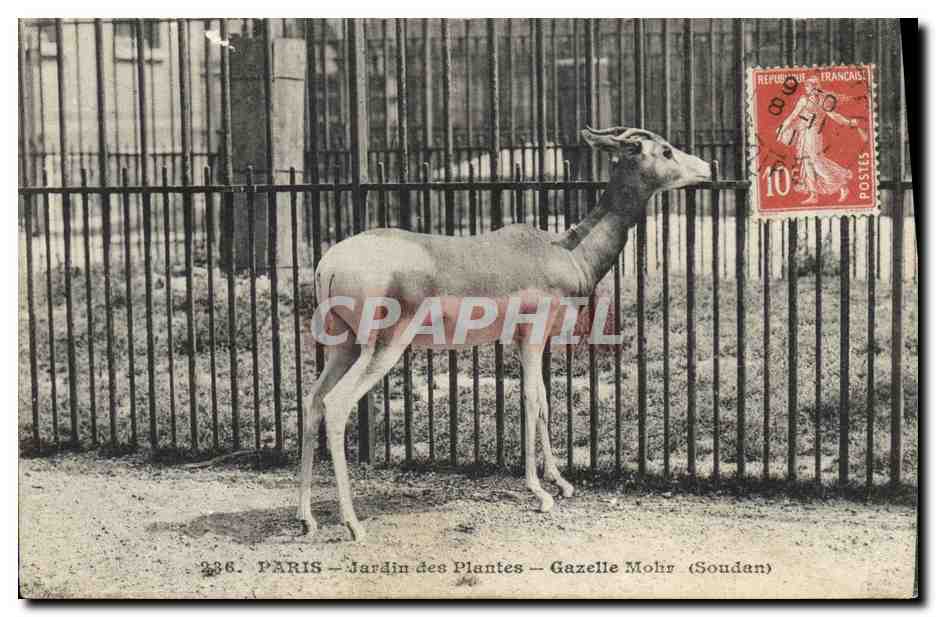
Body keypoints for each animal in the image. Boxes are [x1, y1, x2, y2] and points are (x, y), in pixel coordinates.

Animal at [297, 126, 711, 541]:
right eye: (666, 150)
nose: (707, 167)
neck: (568, 252)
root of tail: (328, 262)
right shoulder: (533, 336)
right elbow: (531, 399)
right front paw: (540, 493)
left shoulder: (524, 341)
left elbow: (543, 401)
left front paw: (561, 483)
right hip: (382, 346)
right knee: (336, 404)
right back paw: (352, 523)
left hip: (346, 346)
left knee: (313, 399)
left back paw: (307, 518)